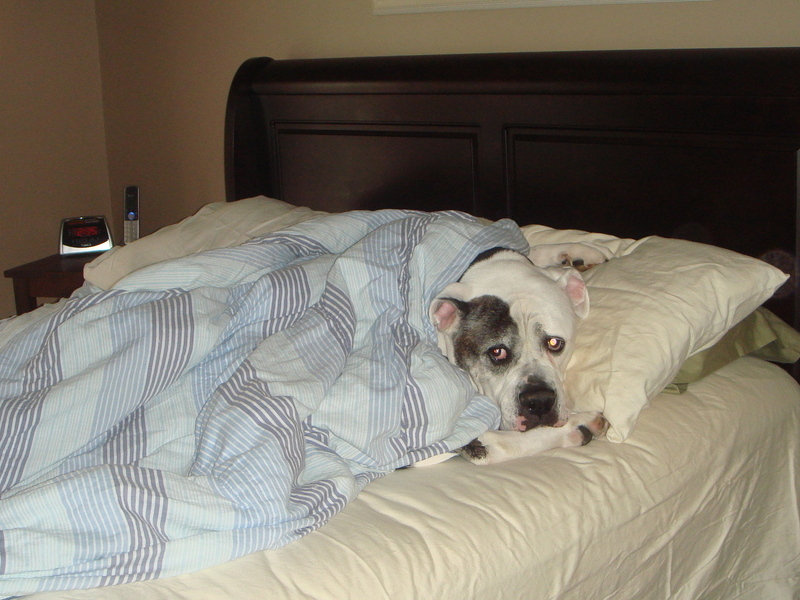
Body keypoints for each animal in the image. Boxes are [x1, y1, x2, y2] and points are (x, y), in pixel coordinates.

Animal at [432, 244, 608, 464]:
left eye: (554, 343)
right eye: (497, 352)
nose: (540, 400)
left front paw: (577, 254)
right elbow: (502, 445)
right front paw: (578, 424)